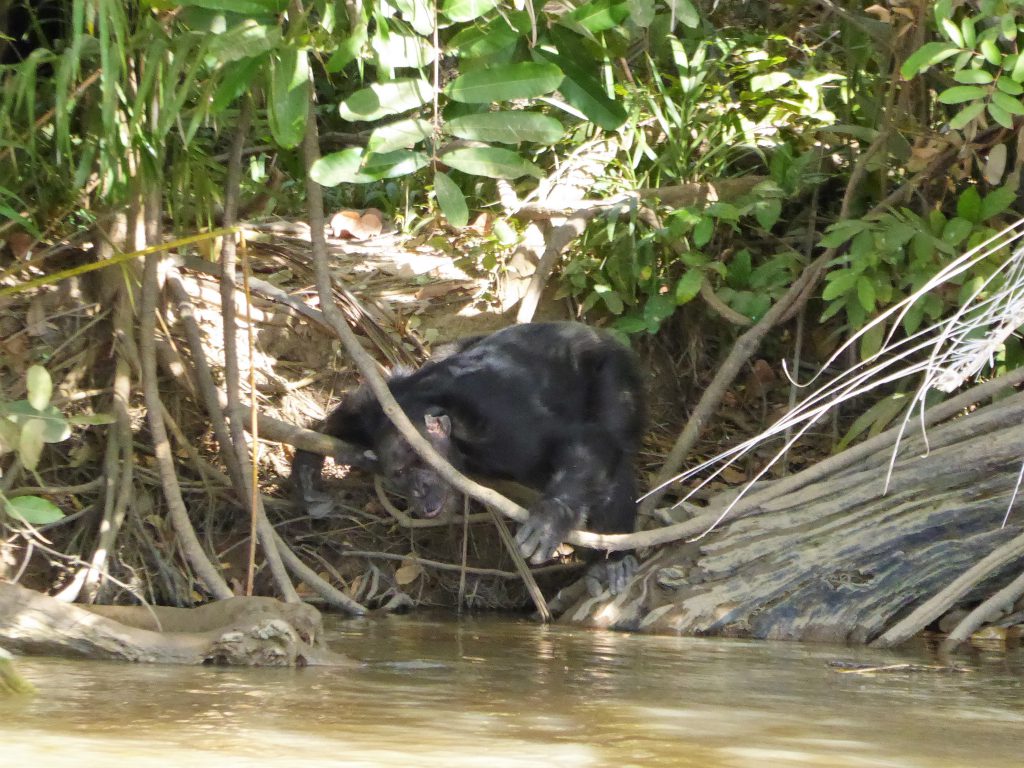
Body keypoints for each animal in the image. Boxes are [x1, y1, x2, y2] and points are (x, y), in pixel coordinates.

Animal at [288, 321, 643, 593]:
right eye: (400, 473)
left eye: (419, 462)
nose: (418, 488)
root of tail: (597, 332)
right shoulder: (380, 407)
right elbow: (357, 404)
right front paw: (306, 468)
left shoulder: (508, 432)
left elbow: (586, 441)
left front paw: (551, 517)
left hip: (614, 369)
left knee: (615, 445)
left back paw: (611, 562)